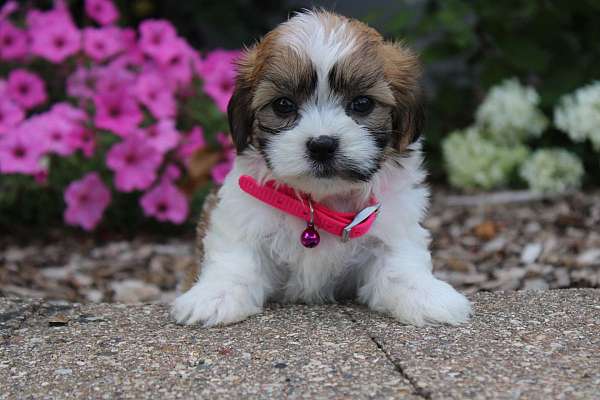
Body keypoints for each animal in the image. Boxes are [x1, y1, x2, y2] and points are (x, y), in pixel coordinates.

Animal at [171, 9, 472, 326]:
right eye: (283, 105)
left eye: (362, 103)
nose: (322, 145)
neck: (320, 204)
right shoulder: (242, 216)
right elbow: (235, 260)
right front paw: (214, 296)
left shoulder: (392, 225)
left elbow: (400, 266)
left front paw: (427, 296)